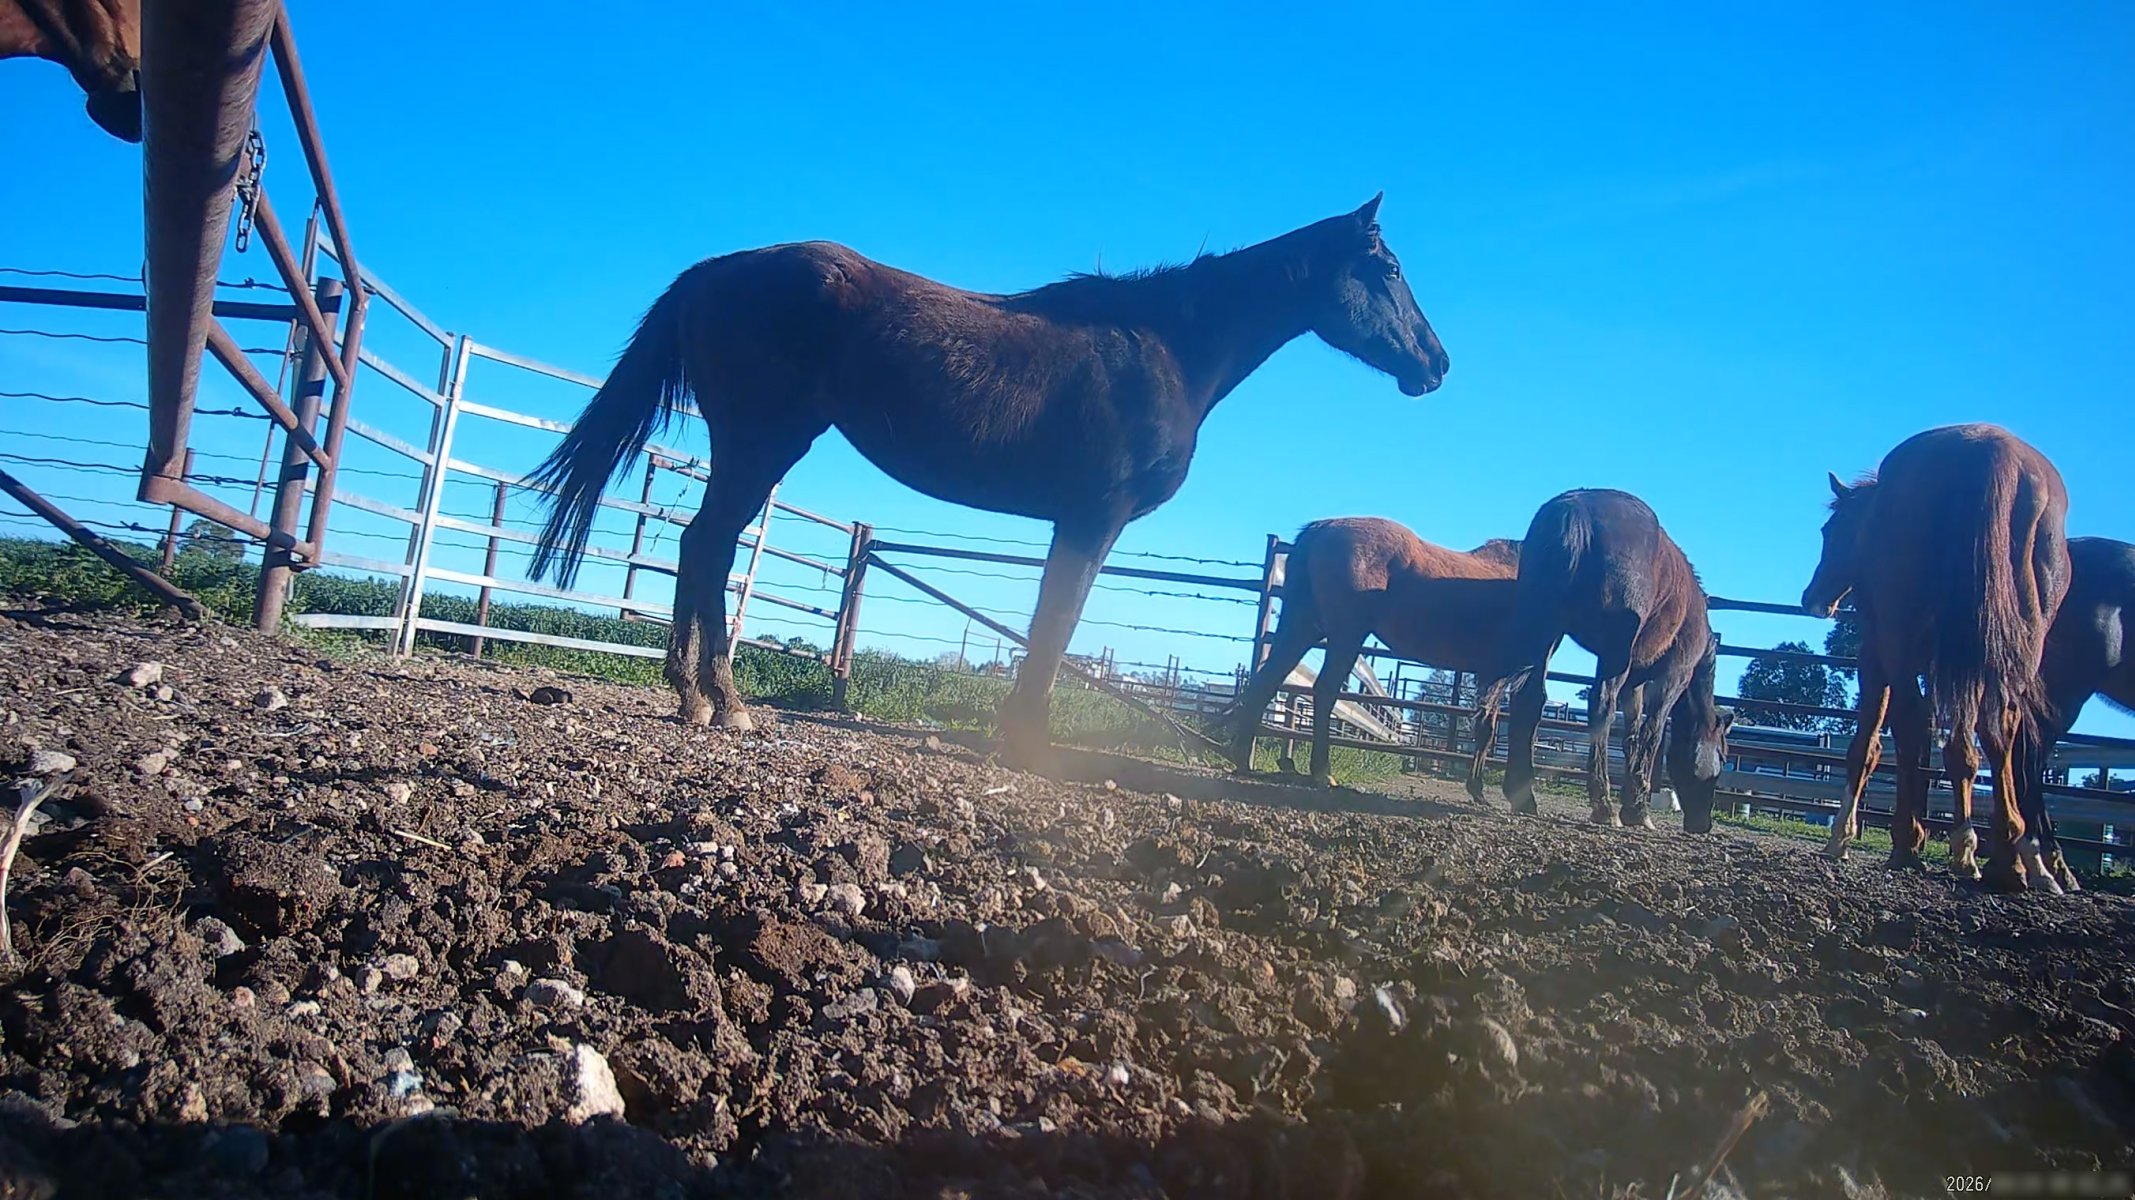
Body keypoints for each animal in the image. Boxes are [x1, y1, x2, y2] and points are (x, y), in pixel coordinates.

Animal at [528, 196, 1450, 768]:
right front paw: (1028, 740)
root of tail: (717, 270)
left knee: (700, 546)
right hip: (763, 440)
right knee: (712, 545)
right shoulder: (1092, 518)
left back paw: (693, 696)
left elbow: (1050, 624)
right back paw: (720, 700)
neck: (1168, 348)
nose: (1436, 366)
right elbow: (1054, 626)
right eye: (1388, 269)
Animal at [1220, 517, 1518, 790]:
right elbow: (1491, 725)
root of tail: (1321, 529)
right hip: (1346, 634)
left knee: (1269, 678)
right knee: (1324, 690)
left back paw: (1242, 757)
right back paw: (1321, 773)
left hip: (1303, 626)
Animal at [1485, 489, 1735, 831]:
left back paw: (1524, 798)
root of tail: (1574, 512)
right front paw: (1638, 811)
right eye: (1722, 756)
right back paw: (1603, 806)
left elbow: (1631, 734)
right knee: (1601, 704)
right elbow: (1652, 733)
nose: (1703, 824)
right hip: (1611, 653)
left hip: (1547, 632)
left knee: (1530, 698)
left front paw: (1632, 802)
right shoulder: (1673, 676)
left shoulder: (1636, 683)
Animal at [1802, 423, 2070, 893]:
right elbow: (1959, 746)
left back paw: (1915, 846)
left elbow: (1870, 745)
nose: (1812, 598)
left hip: (1906, 645)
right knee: (2002, 732)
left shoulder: (1878, 656)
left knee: (1914, 726)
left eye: (1829, 531)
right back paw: (2015, 857)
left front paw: (1843, 837)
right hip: (2009, 652)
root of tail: (1993, 456)